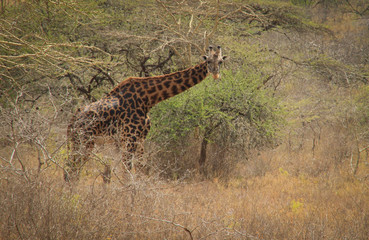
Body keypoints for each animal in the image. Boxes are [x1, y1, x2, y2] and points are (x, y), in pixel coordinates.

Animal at [64, 46, 227, 183]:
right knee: (73, 169)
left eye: (220, 61)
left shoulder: (140, 139)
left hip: (78, 141)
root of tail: (72, 120)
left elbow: (141, 168)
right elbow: (127, 173)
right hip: (85, 141)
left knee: (70, 168)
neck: (148, 99)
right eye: (208, 61)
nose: (215, 73)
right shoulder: (129, 138)